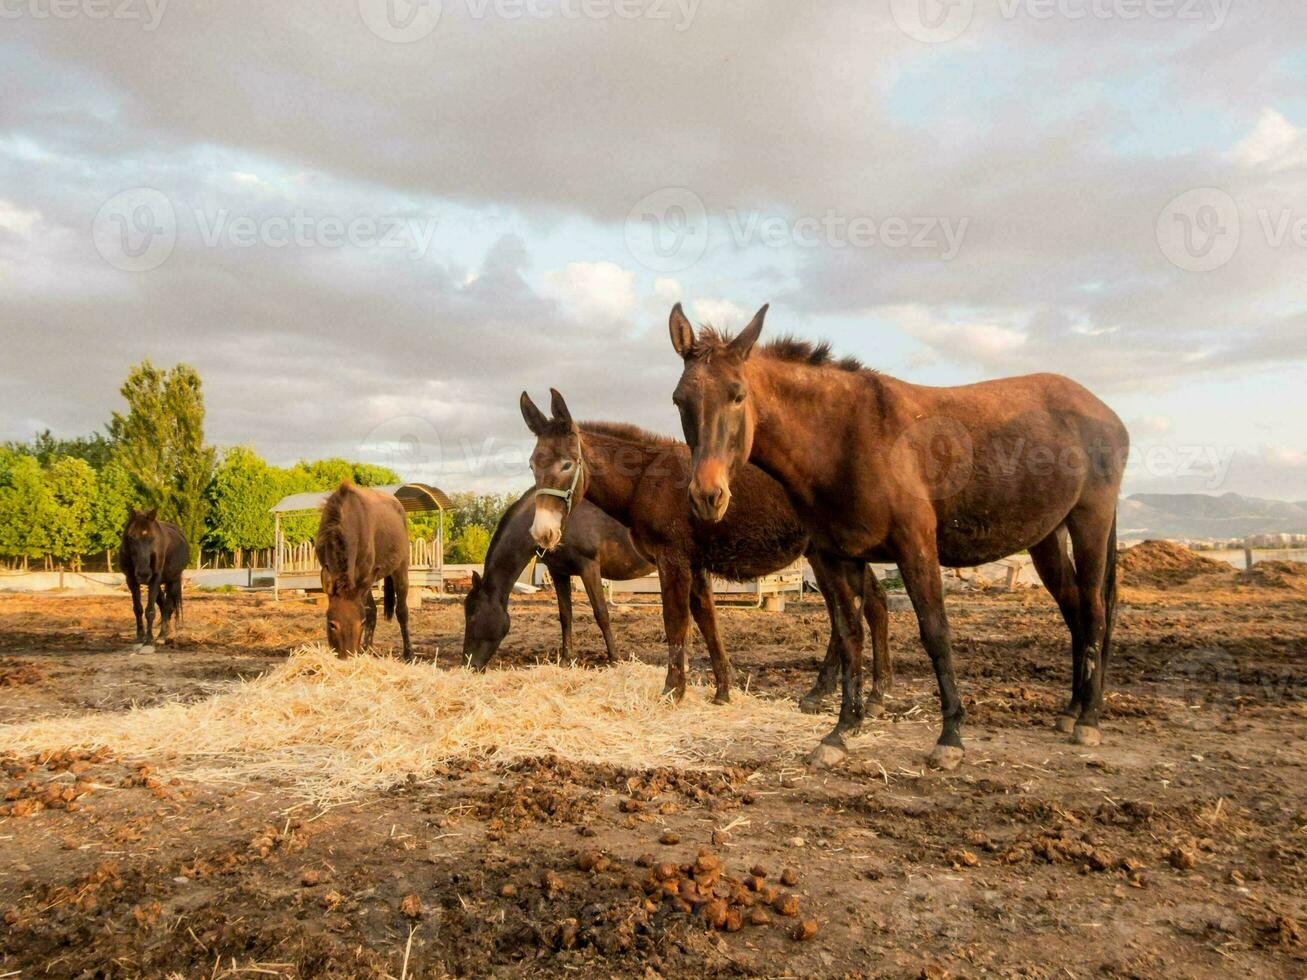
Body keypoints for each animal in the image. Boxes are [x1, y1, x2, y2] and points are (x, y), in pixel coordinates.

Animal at [119, 509, 189, 655]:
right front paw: (140, 639)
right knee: (163, 605)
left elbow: (150, 611)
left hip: (172, 580)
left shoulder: (155, 579)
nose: (143, 573)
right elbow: (138, 609)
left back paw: (162, 636)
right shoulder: (131, 580)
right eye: (131, 537)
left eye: (152, 538)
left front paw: (148, 642)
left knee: (168, 607)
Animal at [313, 483, 410, 661]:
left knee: (402, 611)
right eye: (331, 624)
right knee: (374, 610)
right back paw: (368, 648)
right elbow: (369, 611)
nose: (347, 657)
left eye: (361, 624)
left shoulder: (364, 574)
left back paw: (408, 654)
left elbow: (368, 611)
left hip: (400, 568)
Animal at [465, 493, 658, 674]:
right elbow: (565, 615)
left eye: (473, 616)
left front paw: (614, 659)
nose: (468, 665)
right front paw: (566, 660)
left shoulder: (589, 568)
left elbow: (601, 614)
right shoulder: (559, 573)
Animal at [514, 386, 893, 710]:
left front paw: (672, 691)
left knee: (863, 607)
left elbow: (676, 621)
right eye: (532, 464)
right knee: (864, 605)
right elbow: (707, 621)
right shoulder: (694, 565)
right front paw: (722, 691)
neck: (645, 481)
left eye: (567, 464)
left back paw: (867, 694)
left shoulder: (672, 560)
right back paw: (843, 692)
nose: (542, 533)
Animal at [669, 303, 1129, 773]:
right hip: (1047, 537)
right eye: (680, 400)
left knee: (1095, 611)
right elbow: (850, 634)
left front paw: (950, 738)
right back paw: (1072, 709)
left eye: (737, 394)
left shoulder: (915, 547)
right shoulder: (836, 556)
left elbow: (935, 633)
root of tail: (1104, 413)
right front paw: (841, 732)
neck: (844, 438)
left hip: (1089, 521)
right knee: (1074, 611)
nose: (707, 496)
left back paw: (1088, 719)